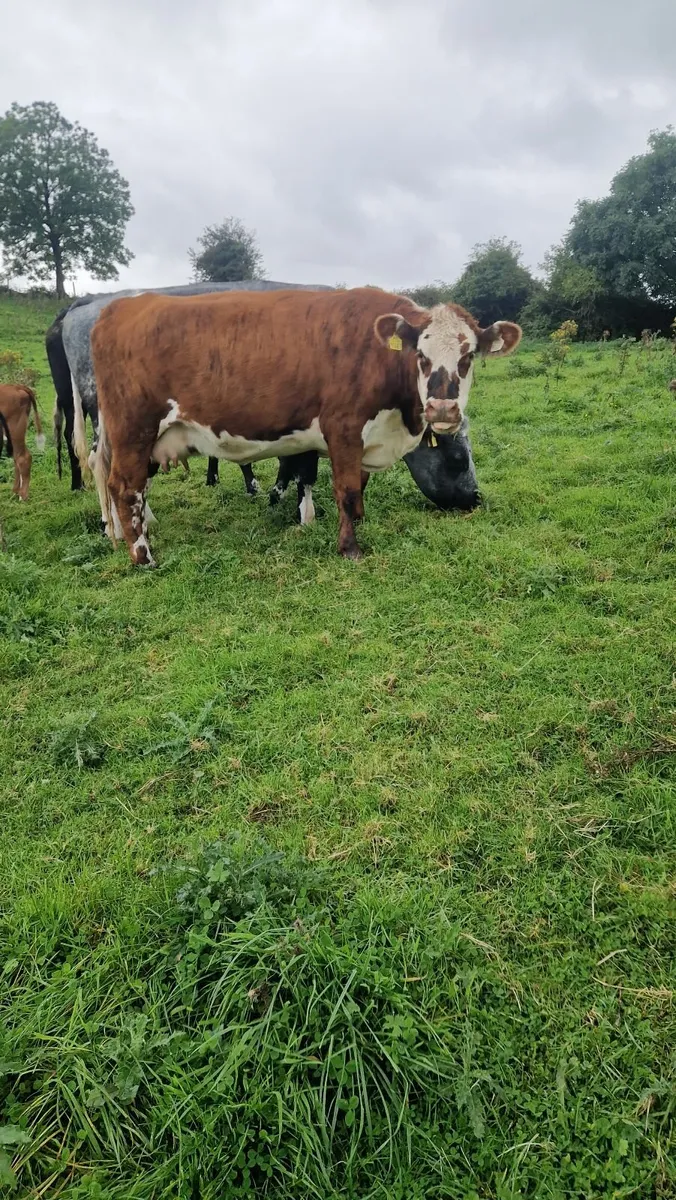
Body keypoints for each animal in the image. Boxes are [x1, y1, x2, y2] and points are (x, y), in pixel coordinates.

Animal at [84, 287, 520, 565]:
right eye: (422, 356)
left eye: (469, 357)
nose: (442, 408)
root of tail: (120, 306)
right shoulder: (343, 427)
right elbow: (346, 489)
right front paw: (349, 549)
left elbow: (357, 487)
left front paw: (357, 522)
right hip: (133, 429)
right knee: (124, 486)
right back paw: (143, 555)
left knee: (130, 486)